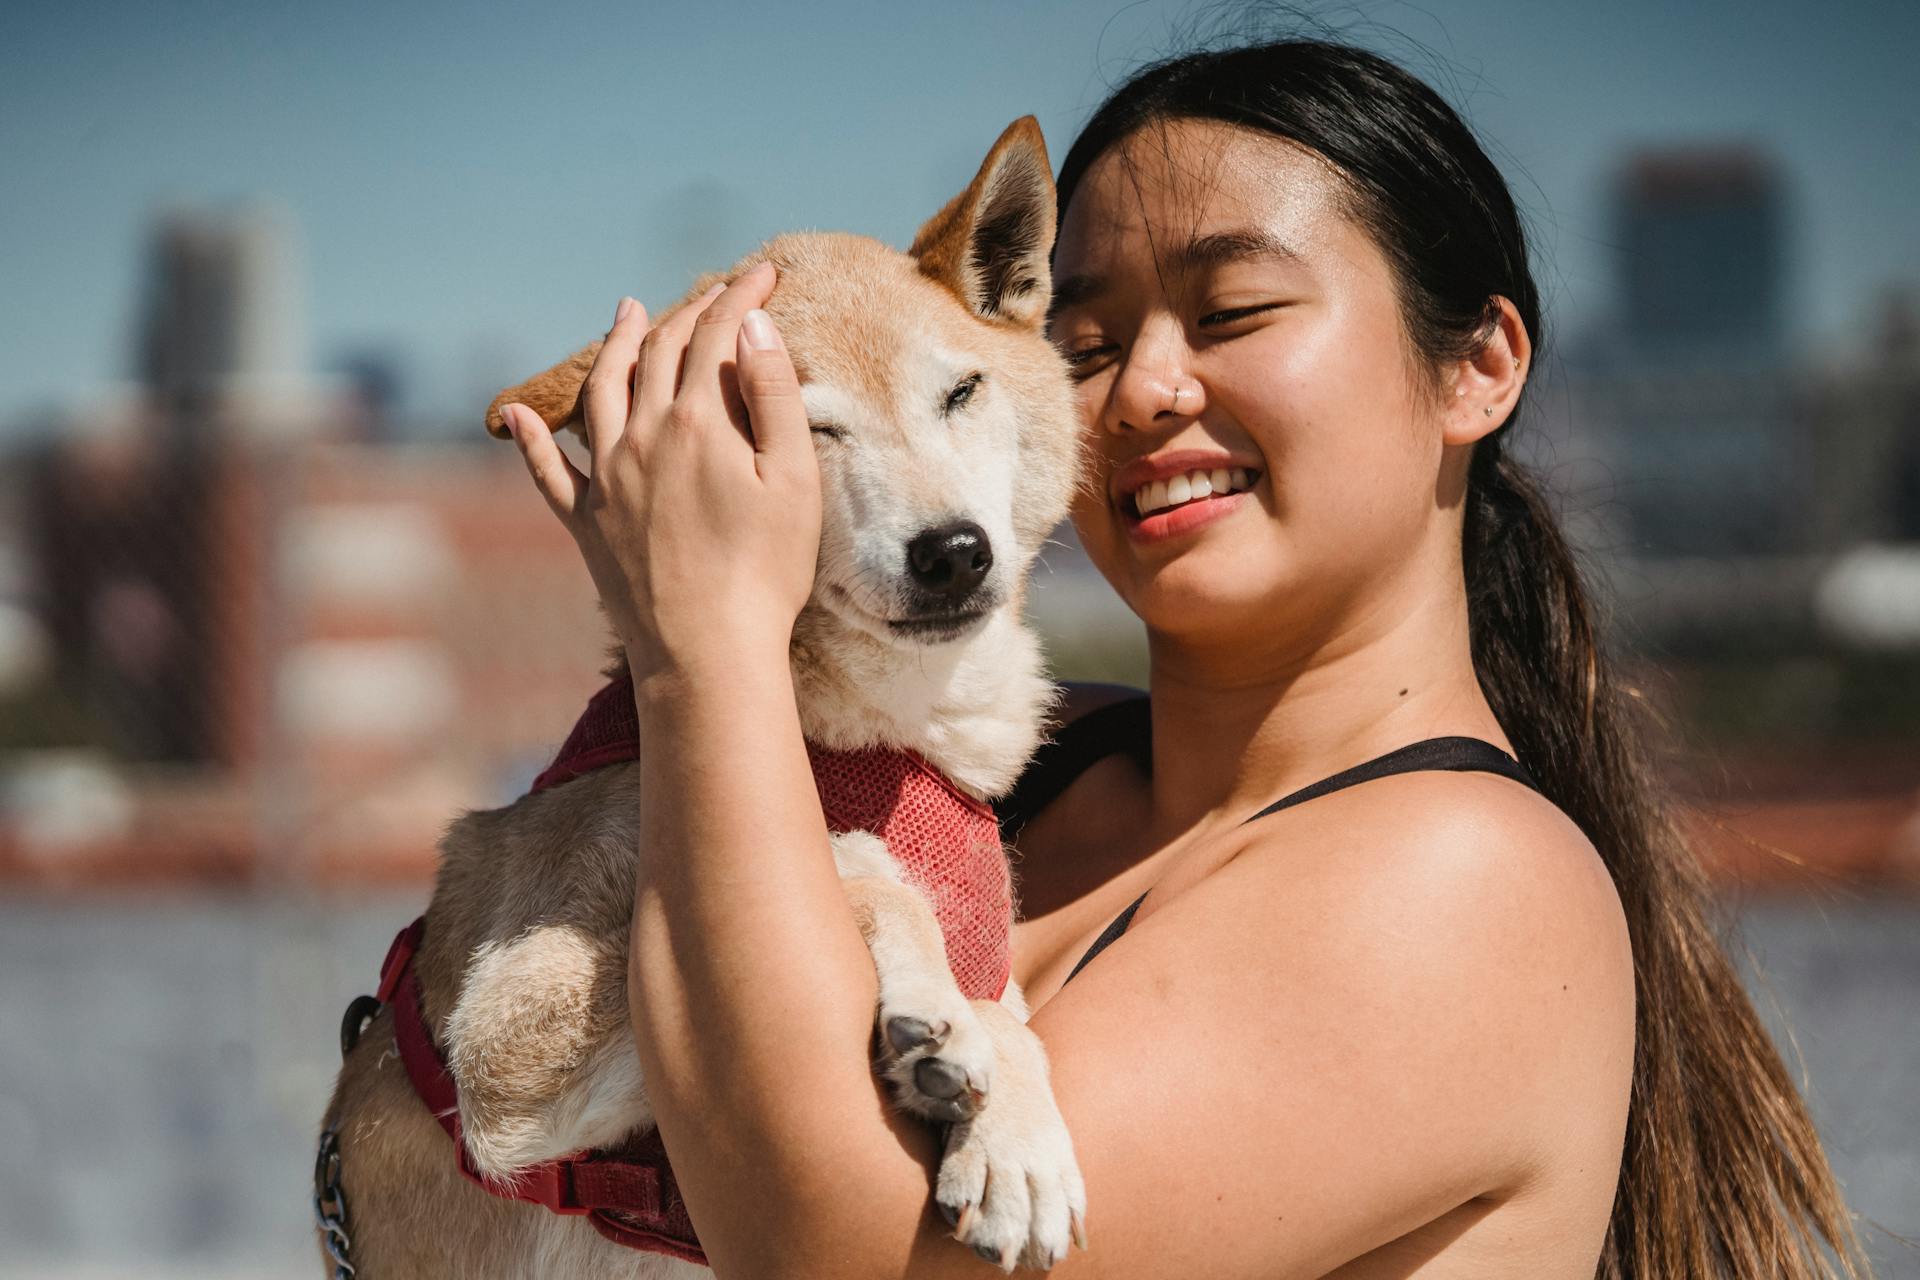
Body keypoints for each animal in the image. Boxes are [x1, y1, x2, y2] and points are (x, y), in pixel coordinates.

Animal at [322, 115, 1090, 1274]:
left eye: (961, 393)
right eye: (808, 433)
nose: (954, 552)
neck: (876, 734)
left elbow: (1014, 1005)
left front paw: (1015, 1129)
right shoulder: (501, 1048)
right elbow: (861, 866)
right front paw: (938, 1016)